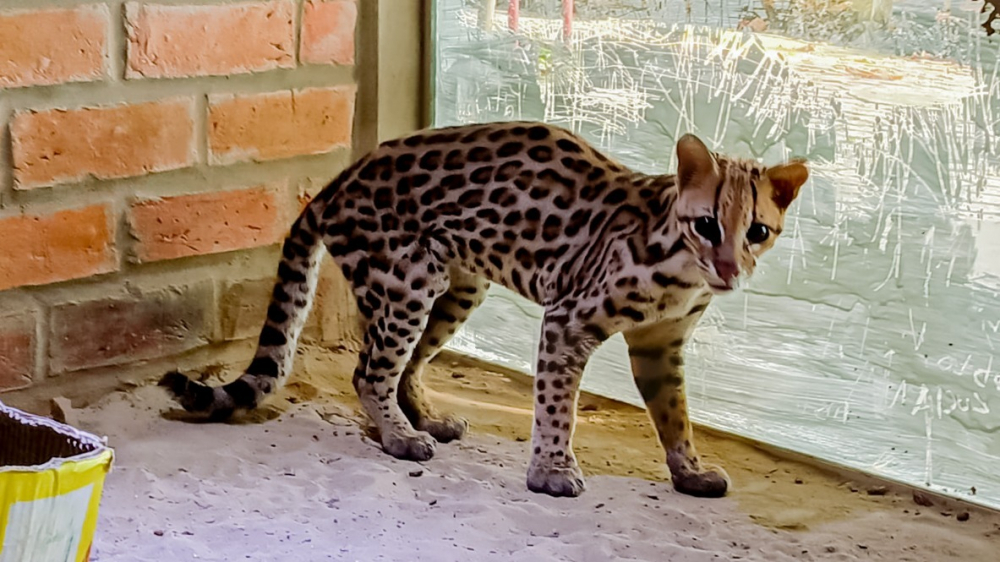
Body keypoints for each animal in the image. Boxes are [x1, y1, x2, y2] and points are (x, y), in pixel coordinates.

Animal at [160, 120, 808, 496]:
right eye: (707, 224)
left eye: (757, 231)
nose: (730, 271)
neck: (683, 269)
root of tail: (335, 183)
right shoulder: (567, 321)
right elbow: (557, 408)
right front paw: (551, 470)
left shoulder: (660, 345)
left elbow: (676, 415)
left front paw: (688, 469)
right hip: (409, 279)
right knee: (369, 370)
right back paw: (398, 436)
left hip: (458, 286)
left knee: (403, 365)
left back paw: (423, 418)